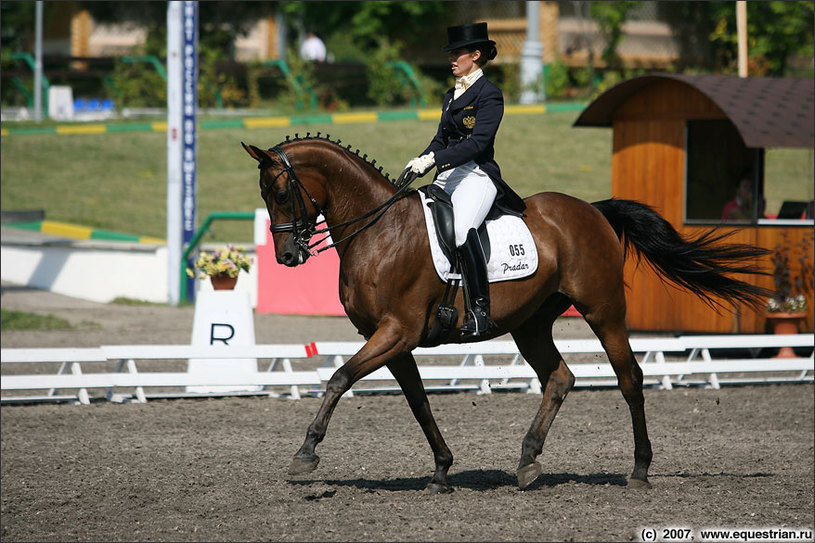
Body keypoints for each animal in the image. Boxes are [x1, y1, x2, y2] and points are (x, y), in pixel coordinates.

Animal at [242, 135, 772, 492]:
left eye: (281, 192)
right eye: (265, 194)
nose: (287, 256)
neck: (379, 230)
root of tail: (592, 209)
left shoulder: (397, 331)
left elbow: (338, 378)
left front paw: (305, 453)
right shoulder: (393, 339)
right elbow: (418, 402)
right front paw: (441, 469)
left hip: (602, 309)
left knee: (630, 378)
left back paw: (639, 469)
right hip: (531, 324)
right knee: (559, 378)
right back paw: (528, 462)